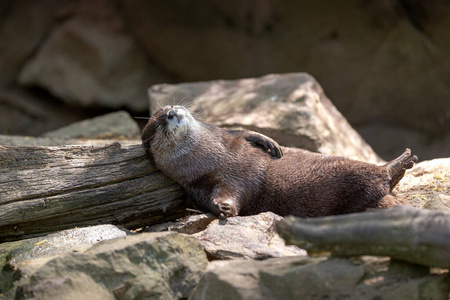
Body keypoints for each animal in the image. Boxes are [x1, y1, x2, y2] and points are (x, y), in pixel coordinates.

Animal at [142, 105, 418, 218]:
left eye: (169, 106)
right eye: (158, 123)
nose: (171, 112)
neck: (213, 157)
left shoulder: (229, 137)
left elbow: (245, 133)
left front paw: (269, 142)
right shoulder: (199, 185)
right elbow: (225, 194)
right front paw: (224, 208)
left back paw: (400, 163)